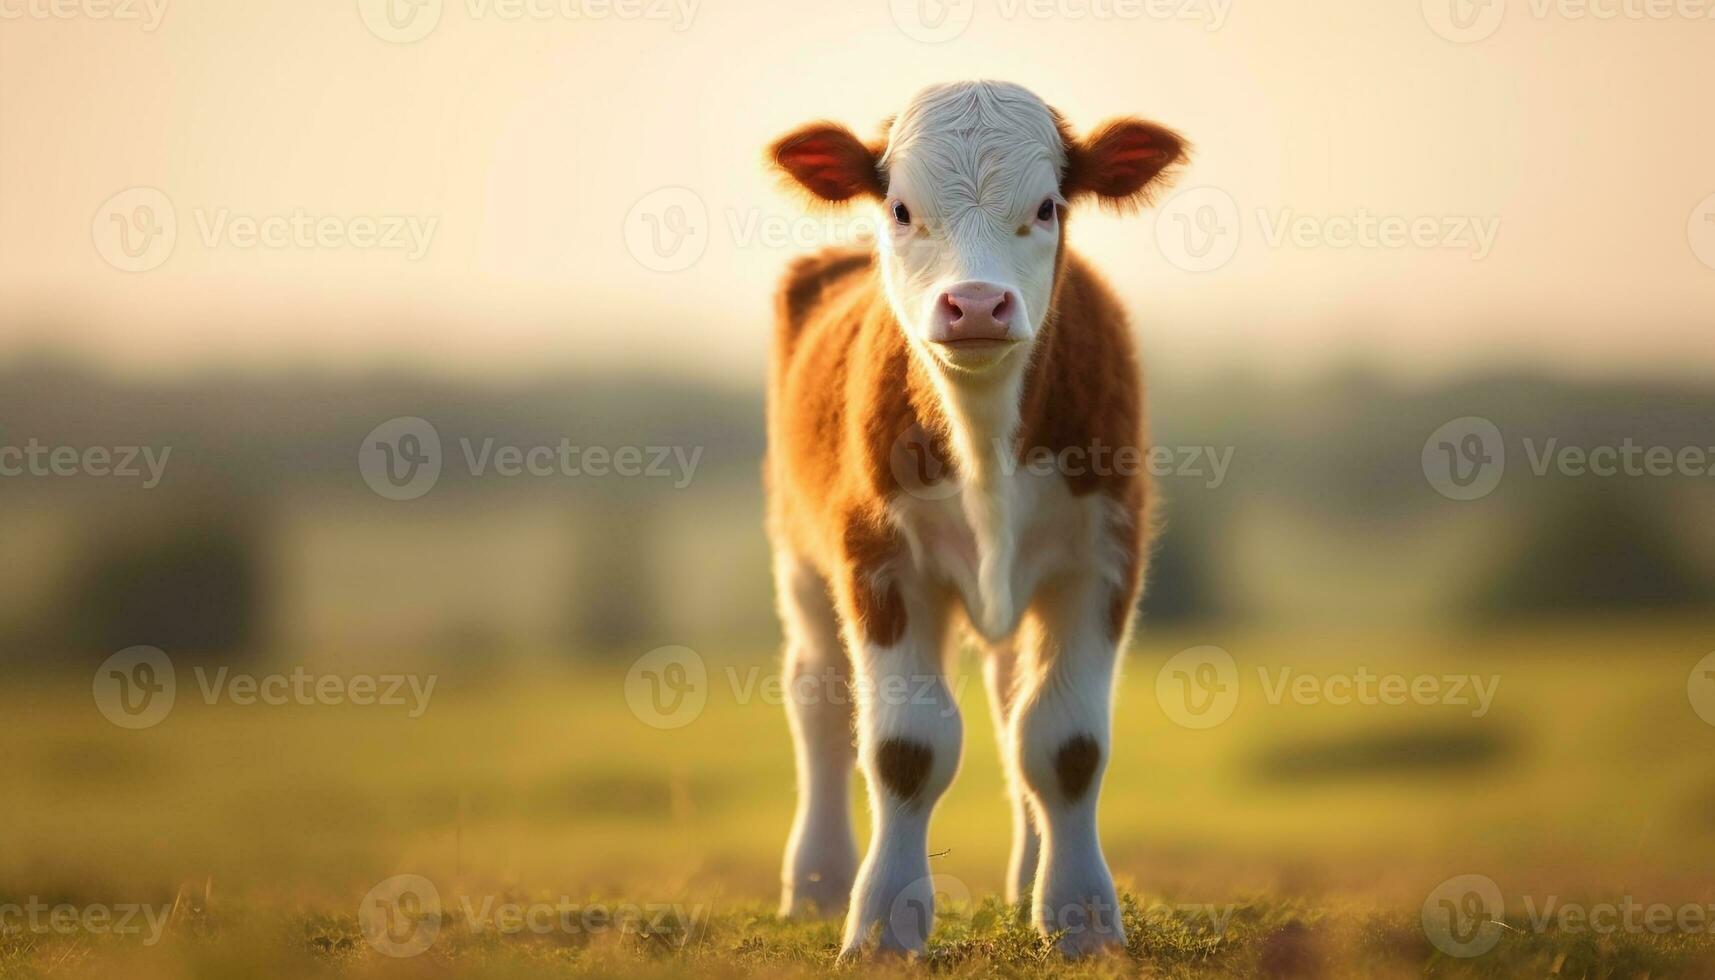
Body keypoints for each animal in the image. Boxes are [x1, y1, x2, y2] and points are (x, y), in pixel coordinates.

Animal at [771, 78, 1186, 961]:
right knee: (819, 698)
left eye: (1048, 204)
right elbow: (903, 748)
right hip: (798, 556)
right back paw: (816, 882)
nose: (974, 305)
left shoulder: (1104, 555)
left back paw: (1024, 877)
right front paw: (879, 924)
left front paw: (1077, 916)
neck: (983, 433)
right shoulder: (877, 560)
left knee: (1008, 702)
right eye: (899, 207)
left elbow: (1062, 744)